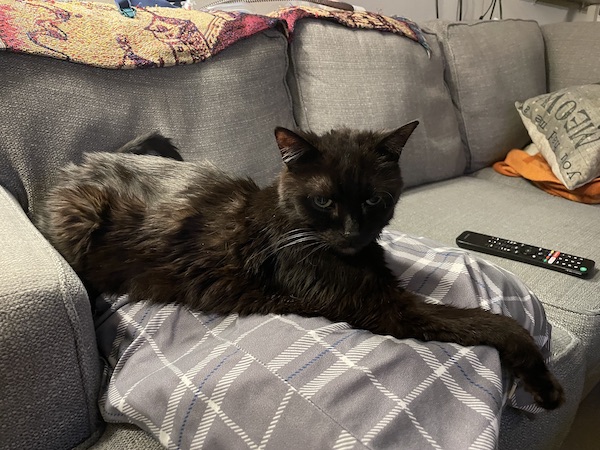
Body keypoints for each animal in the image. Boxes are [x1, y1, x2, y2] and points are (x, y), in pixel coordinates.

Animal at [36, 121, 564, 410]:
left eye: (373, 199)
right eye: (325, 200)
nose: (352, 232)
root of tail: (75, 165)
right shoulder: (385, 306)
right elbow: (494, 322)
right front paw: (544, 383)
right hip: (81, 217)